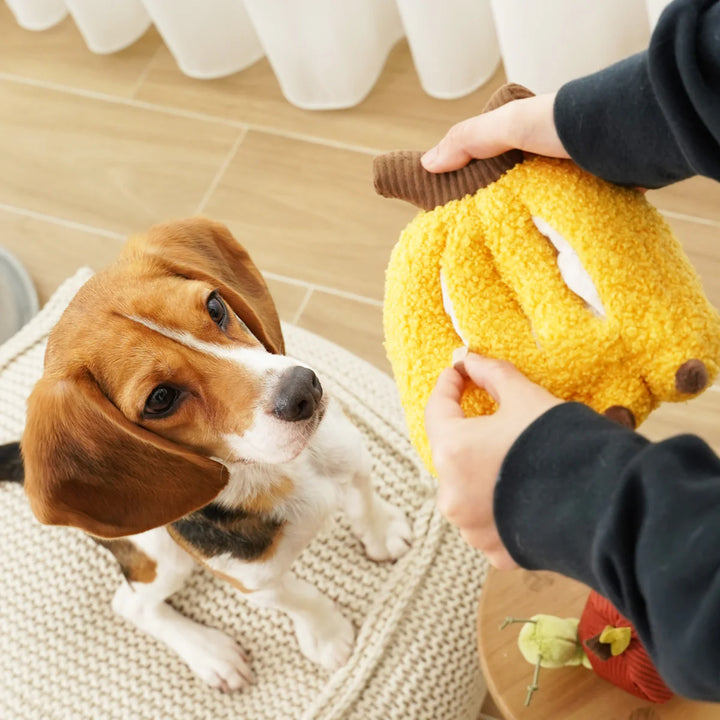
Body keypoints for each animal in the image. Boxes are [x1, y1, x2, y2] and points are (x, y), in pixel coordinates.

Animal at [15, 219, 410, 692]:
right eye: (160, 398)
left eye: (216, 306)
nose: (304, 389)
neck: (277, 470)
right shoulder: (255, 583)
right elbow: (300, 597)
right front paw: (327, 635)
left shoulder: (350, 452)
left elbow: (364, 497)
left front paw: (383, 532)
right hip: (161, 555)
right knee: (131, 605)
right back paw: (211, 654)